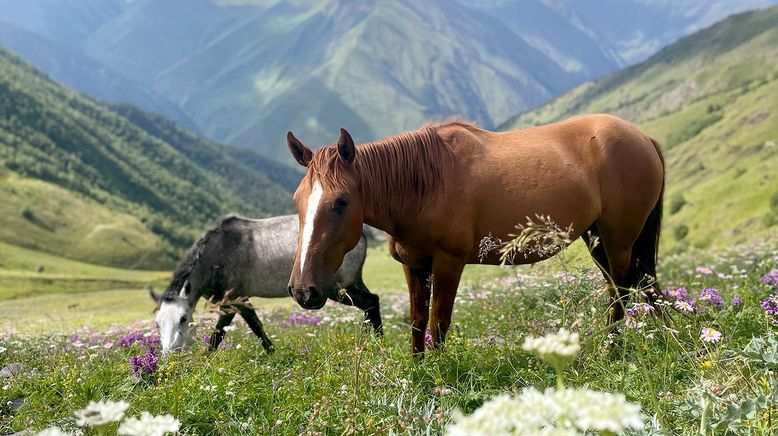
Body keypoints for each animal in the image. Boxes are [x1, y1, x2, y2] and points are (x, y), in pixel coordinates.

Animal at [150, 215, 380, 354]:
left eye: (183, 318)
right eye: (158, 322)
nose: (169, 354)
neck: (217, 255)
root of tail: (360, 234)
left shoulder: (233, 299)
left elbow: (221, 333)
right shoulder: (240, 300)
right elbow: (254, 325)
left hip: (336, 289)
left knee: (370, 302)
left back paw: (376, 342)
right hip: (352, 283)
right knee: (370, 303)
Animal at [286, 114, 668, 356]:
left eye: (341, 201)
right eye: (297, 200)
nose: (304, 290)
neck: (424, 184)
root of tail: (643, 138)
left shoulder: (449, 262)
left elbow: (438, 322)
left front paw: (438, 376)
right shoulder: (414, 265)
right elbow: (417, 322)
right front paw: (418, 372)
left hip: (618, 239)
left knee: (622, 291)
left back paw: (611, 349)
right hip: (598, 238)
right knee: (643, 284)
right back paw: (665, 335)